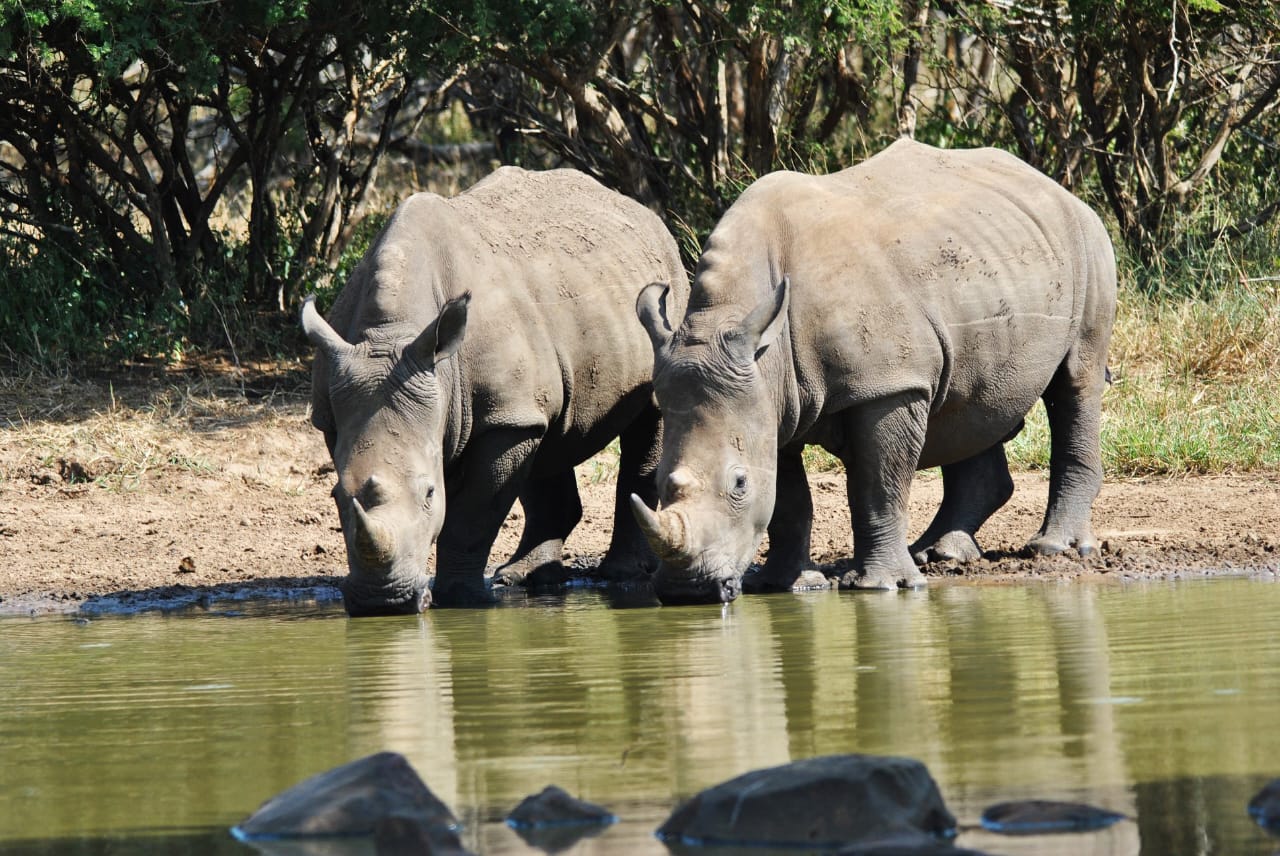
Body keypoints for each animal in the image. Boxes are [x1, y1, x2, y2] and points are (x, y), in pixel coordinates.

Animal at [304, 167, 688, 615]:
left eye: (429, 493)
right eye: (334, 498)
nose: (382, 601)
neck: (390, 336)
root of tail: (639, 210)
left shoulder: (502, 419)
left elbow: (473, 515)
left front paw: (461, 600)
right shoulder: (333, 410)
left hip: (663, 302)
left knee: (647, 417)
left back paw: (621, 575)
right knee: (549, 434)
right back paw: (524, 578)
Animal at [632, 139, 1116, 605]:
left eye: (738, 483)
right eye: (655, 483)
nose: (687, 591)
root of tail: (1054, 187)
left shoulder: (888, 385)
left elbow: (877, 486)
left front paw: (882, 586)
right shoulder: (773, 403)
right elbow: (788, 501)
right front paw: (787, 585)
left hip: (1088, 243)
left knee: (1076, 381)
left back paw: (1053, 548)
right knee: (973, 403)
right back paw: (939, 554)